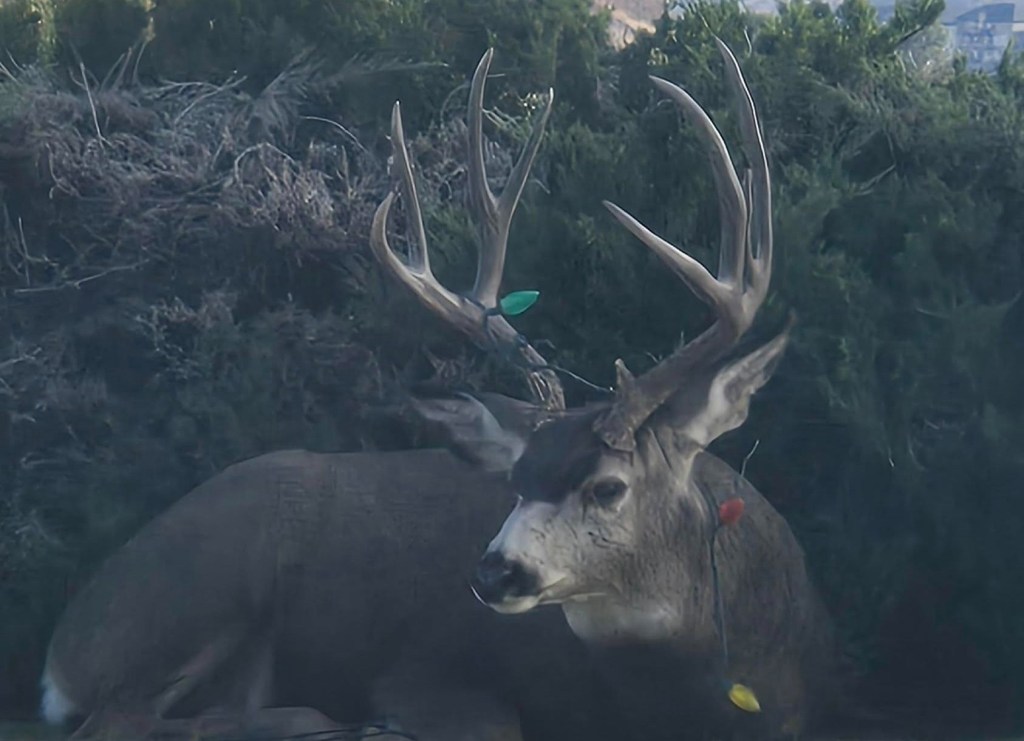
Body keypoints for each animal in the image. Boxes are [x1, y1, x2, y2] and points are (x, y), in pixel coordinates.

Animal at [39, 41, 835, 741]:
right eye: (516, 479)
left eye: (608, 485)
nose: (491, 571)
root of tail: (64, 646)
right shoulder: (428, 670)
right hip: (204, 586)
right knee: (121, 720)